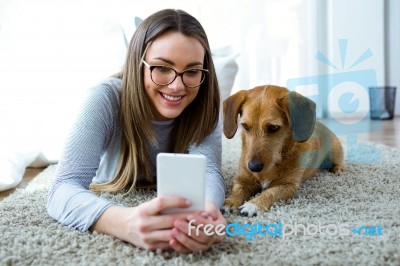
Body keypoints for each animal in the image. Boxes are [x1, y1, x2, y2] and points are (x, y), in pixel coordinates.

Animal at [222, 85, 344, 216]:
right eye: (245, 126)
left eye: (273, 127)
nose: (253, 167)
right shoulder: (242, 180)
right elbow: (237, 190)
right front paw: (230, 202)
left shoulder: (288, 186)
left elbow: (270, 192)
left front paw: (254, 204)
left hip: (335, 152)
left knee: (339, 162)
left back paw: (338, 169)